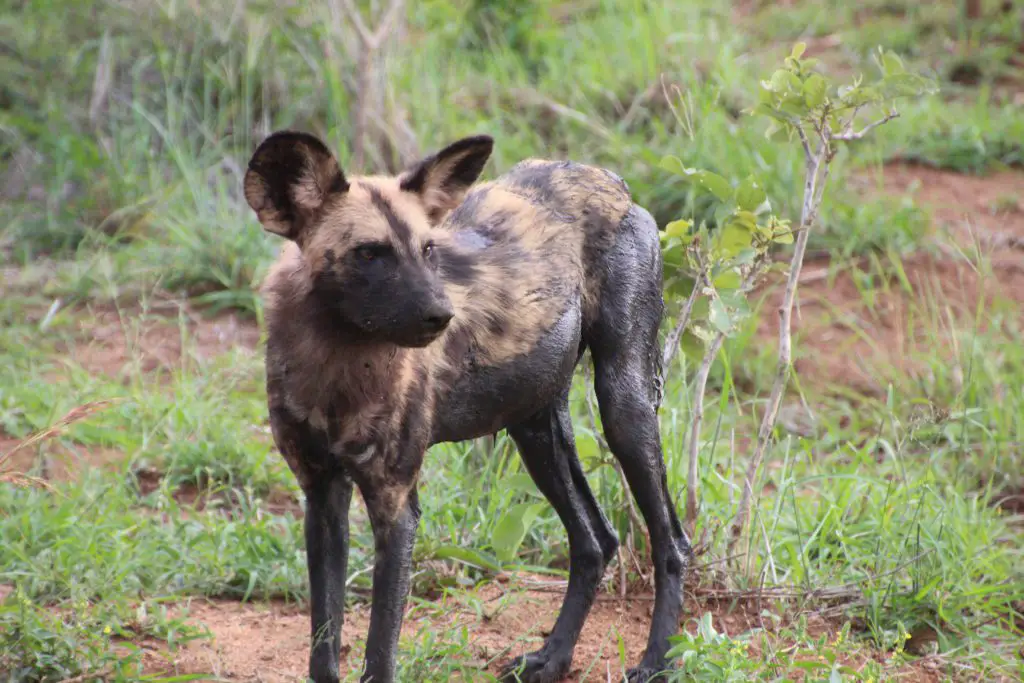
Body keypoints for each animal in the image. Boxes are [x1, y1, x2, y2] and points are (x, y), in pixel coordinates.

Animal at [241, 131, 688, 679]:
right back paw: (553, 657)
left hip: (624, 408)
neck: (335, 365)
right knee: (594, 542)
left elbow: (379, 652)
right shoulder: (322, 496)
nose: (442, 315)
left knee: (670, 543)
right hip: (535, 430)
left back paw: (656, 661)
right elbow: (324, 646)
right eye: (368, 253)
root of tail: (606, 178)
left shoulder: (396, 507)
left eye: (428, 249)